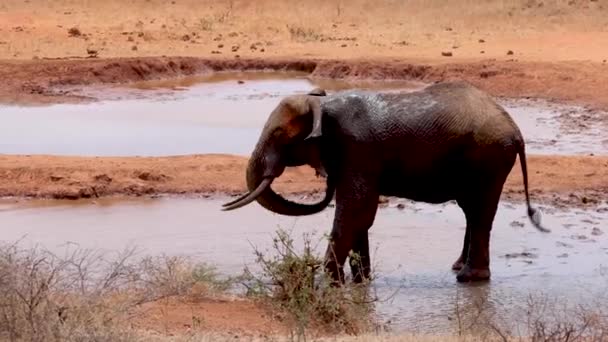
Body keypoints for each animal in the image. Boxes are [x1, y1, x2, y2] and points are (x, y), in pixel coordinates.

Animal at [221, 80, 548, 284]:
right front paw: (361, 282)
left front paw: (332, 283)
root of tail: (516, 130)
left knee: (479, 211)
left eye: (278, 134)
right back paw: (459, 268)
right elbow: (361, 215)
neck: (322, 106)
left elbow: (356, 209)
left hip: (488, 158)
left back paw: (468, 279)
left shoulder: (358, 148)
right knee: (471, 211)